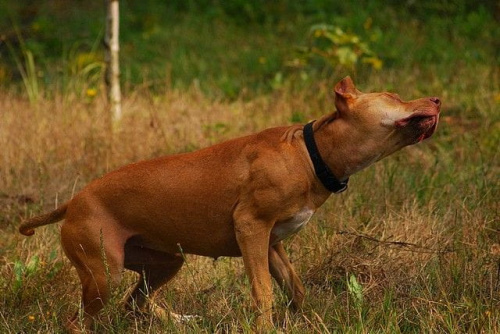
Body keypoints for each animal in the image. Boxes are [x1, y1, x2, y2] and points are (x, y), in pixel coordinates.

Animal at [20, 77, 442, 332]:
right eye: (393, 97)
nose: (438, 98)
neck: (311, 153)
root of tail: (73, 202)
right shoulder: (251, 229)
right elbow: (264, 291)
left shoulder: (272, 243)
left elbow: (295, 288)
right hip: (101, 273)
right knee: (82, 321)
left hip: (166, 262)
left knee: (135, 303)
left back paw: (181, 319)